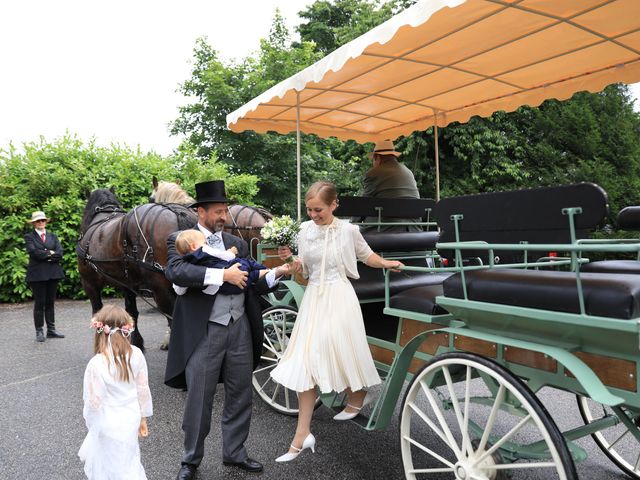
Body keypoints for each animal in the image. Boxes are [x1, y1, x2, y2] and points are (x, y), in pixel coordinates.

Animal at [75, 187, 195, 348]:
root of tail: (177, 213)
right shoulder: (128, 284)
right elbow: (131, 312)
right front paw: (135, 342)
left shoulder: (89, 283)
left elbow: (98, 313)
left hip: (161, 289)